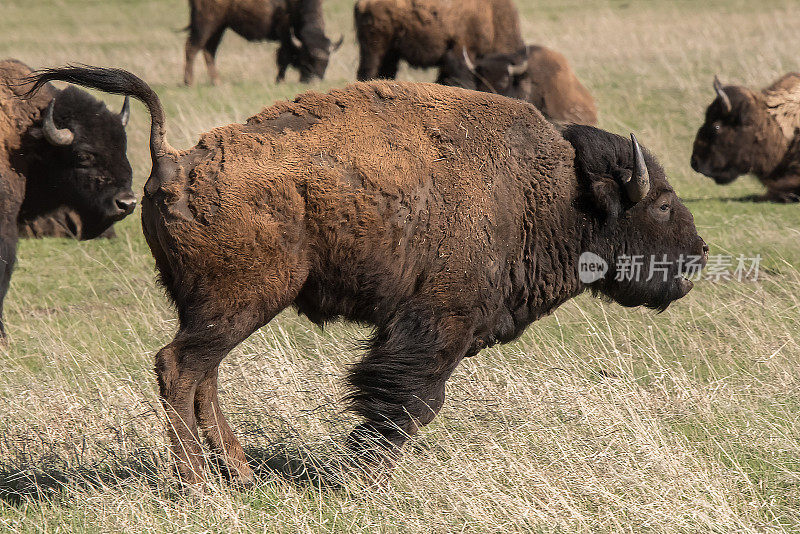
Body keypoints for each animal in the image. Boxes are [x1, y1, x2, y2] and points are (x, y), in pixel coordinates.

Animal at [29, 66, 708, 490]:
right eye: (661, 204)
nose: (698, 257)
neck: (553, 190)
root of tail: (171, 159)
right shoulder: (434, 322)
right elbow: (408, 398)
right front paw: (363, 469)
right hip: (242, 303)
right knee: (179, 368)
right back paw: (197, 484)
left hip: (214, 310)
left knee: (202, 376)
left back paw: (239, 475)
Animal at [184, 0, 344, 85]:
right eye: (306, 60)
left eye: (327, 63)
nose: (314, 81)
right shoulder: (284, 31)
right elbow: (284, 57)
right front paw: (280, 81)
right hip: (205, 24)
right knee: (192, 48)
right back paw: (189, 83)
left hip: (220, 27)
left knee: (209, 51)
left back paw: (217, 82)